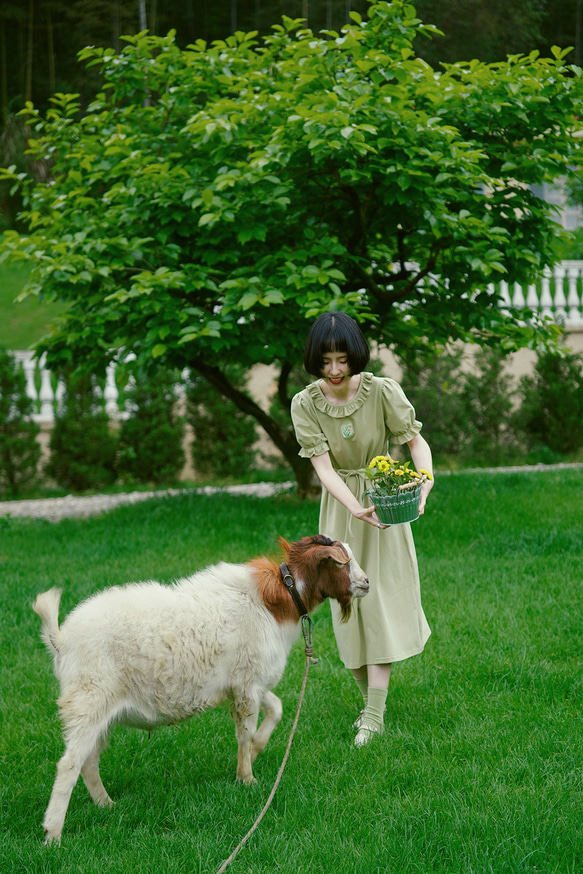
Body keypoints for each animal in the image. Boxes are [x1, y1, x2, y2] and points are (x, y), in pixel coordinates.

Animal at [32, 532, 370, 836]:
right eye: (340, 562)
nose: (366, 583)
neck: (274, 604)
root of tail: (61, 640)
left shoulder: (246, 682)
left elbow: (275, 708)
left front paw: (256, 752)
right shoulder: (247, 683)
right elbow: (244, 733)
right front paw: (247, 778)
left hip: (102, 711)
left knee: (89, 761)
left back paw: (106, 804)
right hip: (87, 701)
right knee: (69, 764)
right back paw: (53, 834)